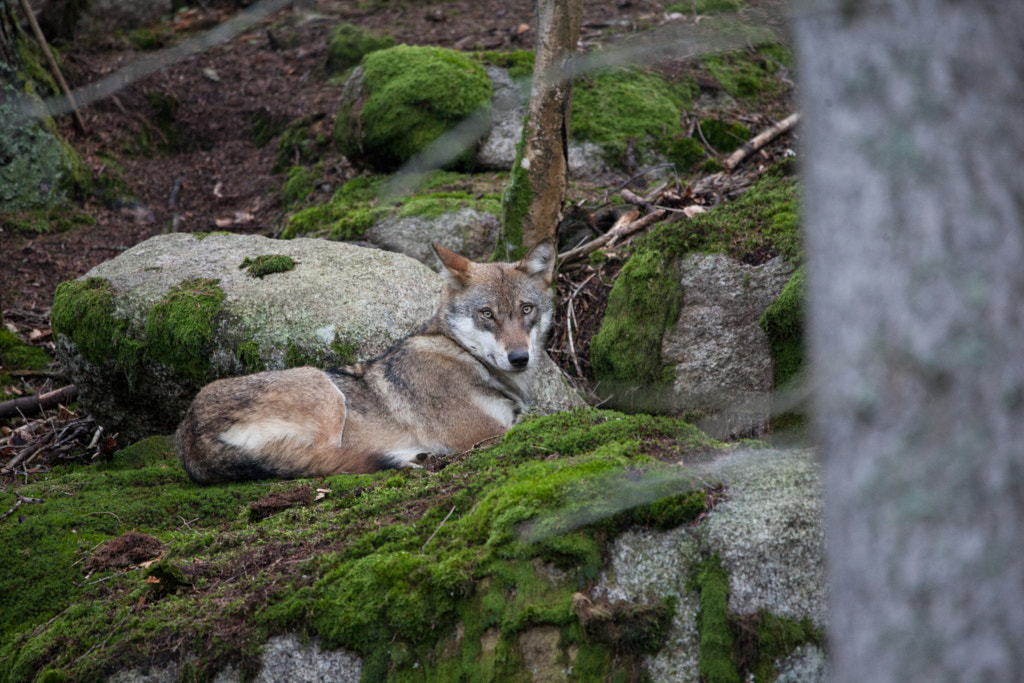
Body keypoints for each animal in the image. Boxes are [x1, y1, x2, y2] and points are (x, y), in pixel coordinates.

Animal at [177, 241, 561, 485]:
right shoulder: (485, 434)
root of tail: (189, 433)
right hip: (325, 393)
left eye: (526, 309)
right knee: (331, 462)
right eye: (487, 314)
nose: (519, 357)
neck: (463, 354)